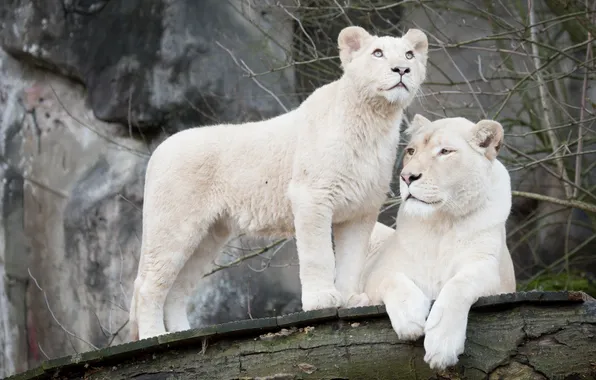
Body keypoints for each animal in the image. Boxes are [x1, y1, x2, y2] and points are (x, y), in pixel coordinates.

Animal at [130, 27, 428, 342]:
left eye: (409, 54)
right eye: (378, 53)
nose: (402, 69)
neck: (375, 121)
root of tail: (158, 151)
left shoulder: (361, 210)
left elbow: (352, 260)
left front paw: (349, 299)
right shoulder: (312, 196)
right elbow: (318, 254)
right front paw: (322, 299)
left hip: (208, 236)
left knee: (177, 287)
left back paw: (181, 332)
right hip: (173, 225)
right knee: (148, 285)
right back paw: (152, 336)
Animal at [360, 114, 516, 370]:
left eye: (445, 151)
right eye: (411, 151)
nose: (407, 177)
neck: (440, 222)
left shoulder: (488, 269)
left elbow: (457, 286)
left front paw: (442, 345)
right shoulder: (379, 273)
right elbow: (391, 280)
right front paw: (410, 317)